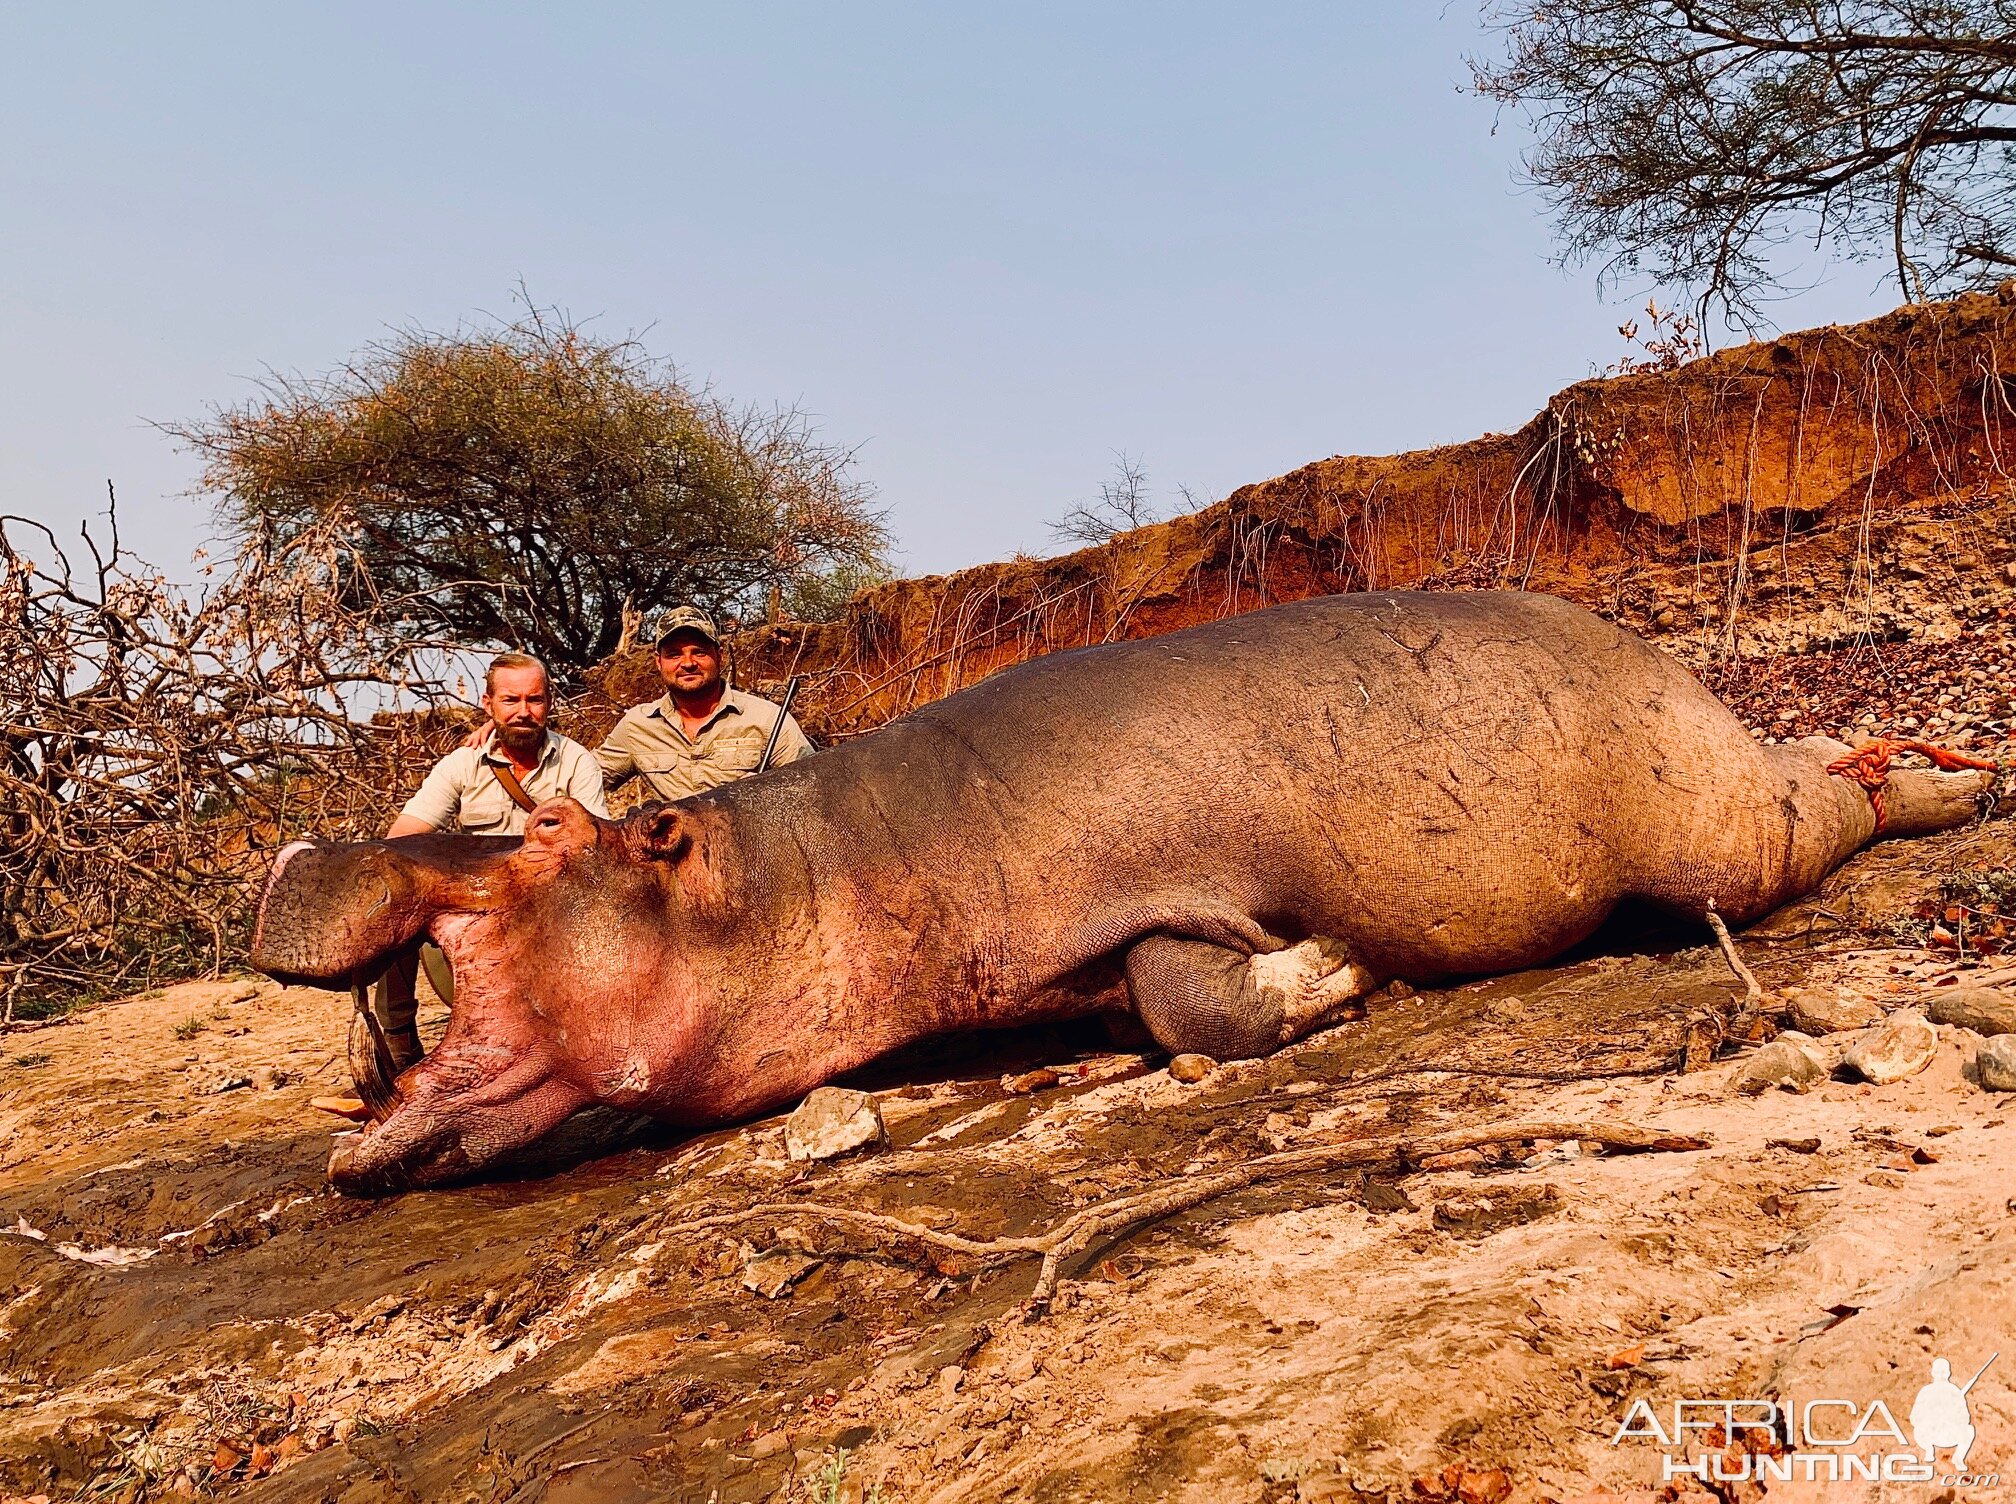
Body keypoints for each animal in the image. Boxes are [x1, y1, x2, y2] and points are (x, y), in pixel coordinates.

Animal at [252, 592, 1999, 1185]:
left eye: (551, 834)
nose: (299, 849)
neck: (802, 870)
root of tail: (1663, 658)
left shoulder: (1154, 889)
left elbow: (1192, 994)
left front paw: (1332, 973)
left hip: (1691, 811)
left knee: (1801, 808)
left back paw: (1947, 780)